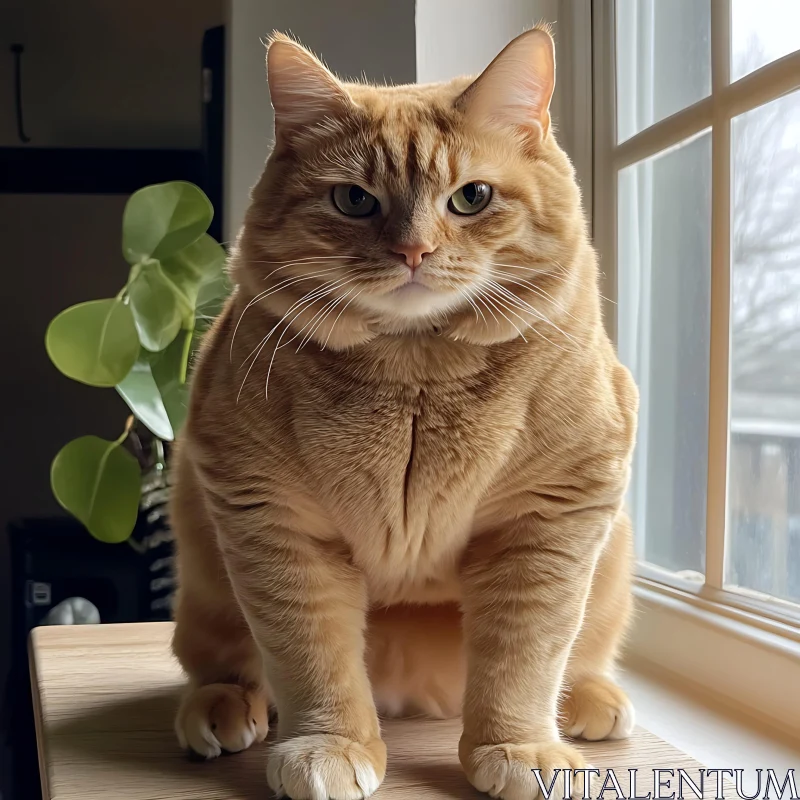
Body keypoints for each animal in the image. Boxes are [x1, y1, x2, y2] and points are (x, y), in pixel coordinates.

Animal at [170, 26, 636, 800]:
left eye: (472, 197)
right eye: (353, 200)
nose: (413, 250)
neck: (415, 369)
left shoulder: (553, 519)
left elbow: (527, 653)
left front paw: (520, 747)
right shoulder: (272, 521)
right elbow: (310, 654)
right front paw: (330, 744)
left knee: (583, 654)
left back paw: (588, 701)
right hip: (205, 568)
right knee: (223, 658)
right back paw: (223, 704)